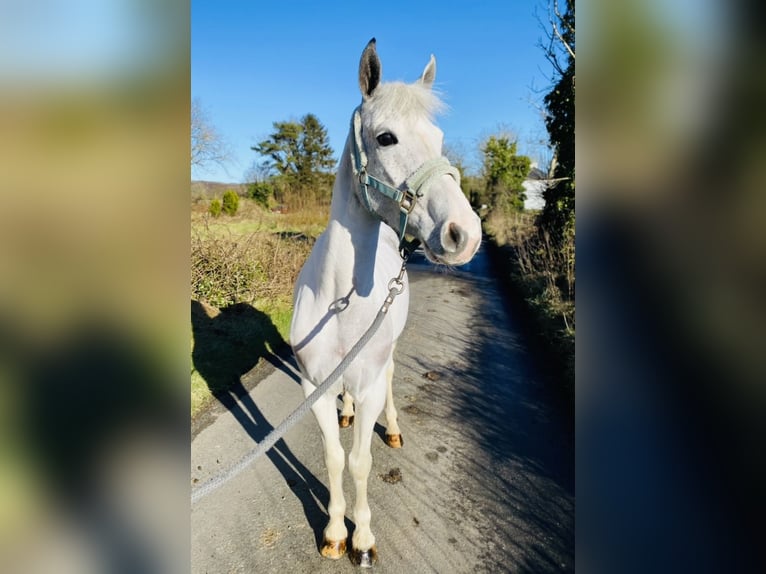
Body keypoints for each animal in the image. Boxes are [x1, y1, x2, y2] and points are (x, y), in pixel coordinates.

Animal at [290, 39, 480, 568]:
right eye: (386, 137)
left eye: (439, 137)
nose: (465, 233)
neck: (340, 297)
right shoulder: (313, 386)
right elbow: (334, 457)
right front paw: (334, 534)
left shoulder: (371, 381)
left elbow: (360, 461)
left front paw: (362, 539)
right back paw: (348, 411)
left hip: (386, 356)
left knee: (391, 380)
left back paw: (391, 427)